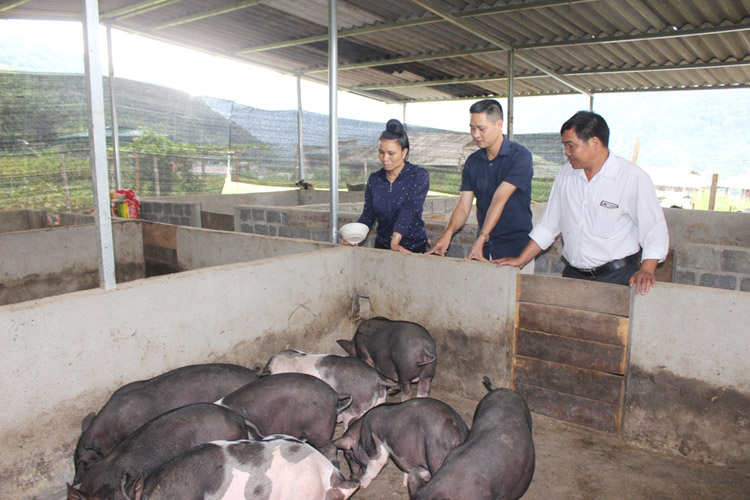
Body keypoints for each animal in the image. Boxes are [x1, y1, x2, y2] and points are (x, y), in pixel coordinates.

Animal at [333, 397, 468, 497]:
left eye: (349, 455)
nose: (352, 477)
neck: (361, 430)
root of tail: (458, 432)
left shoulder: (375, 444)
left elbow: (377, 463)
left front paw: (362, 485)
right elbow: (407, 468)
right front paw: (404, 483)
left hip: (436, 458)